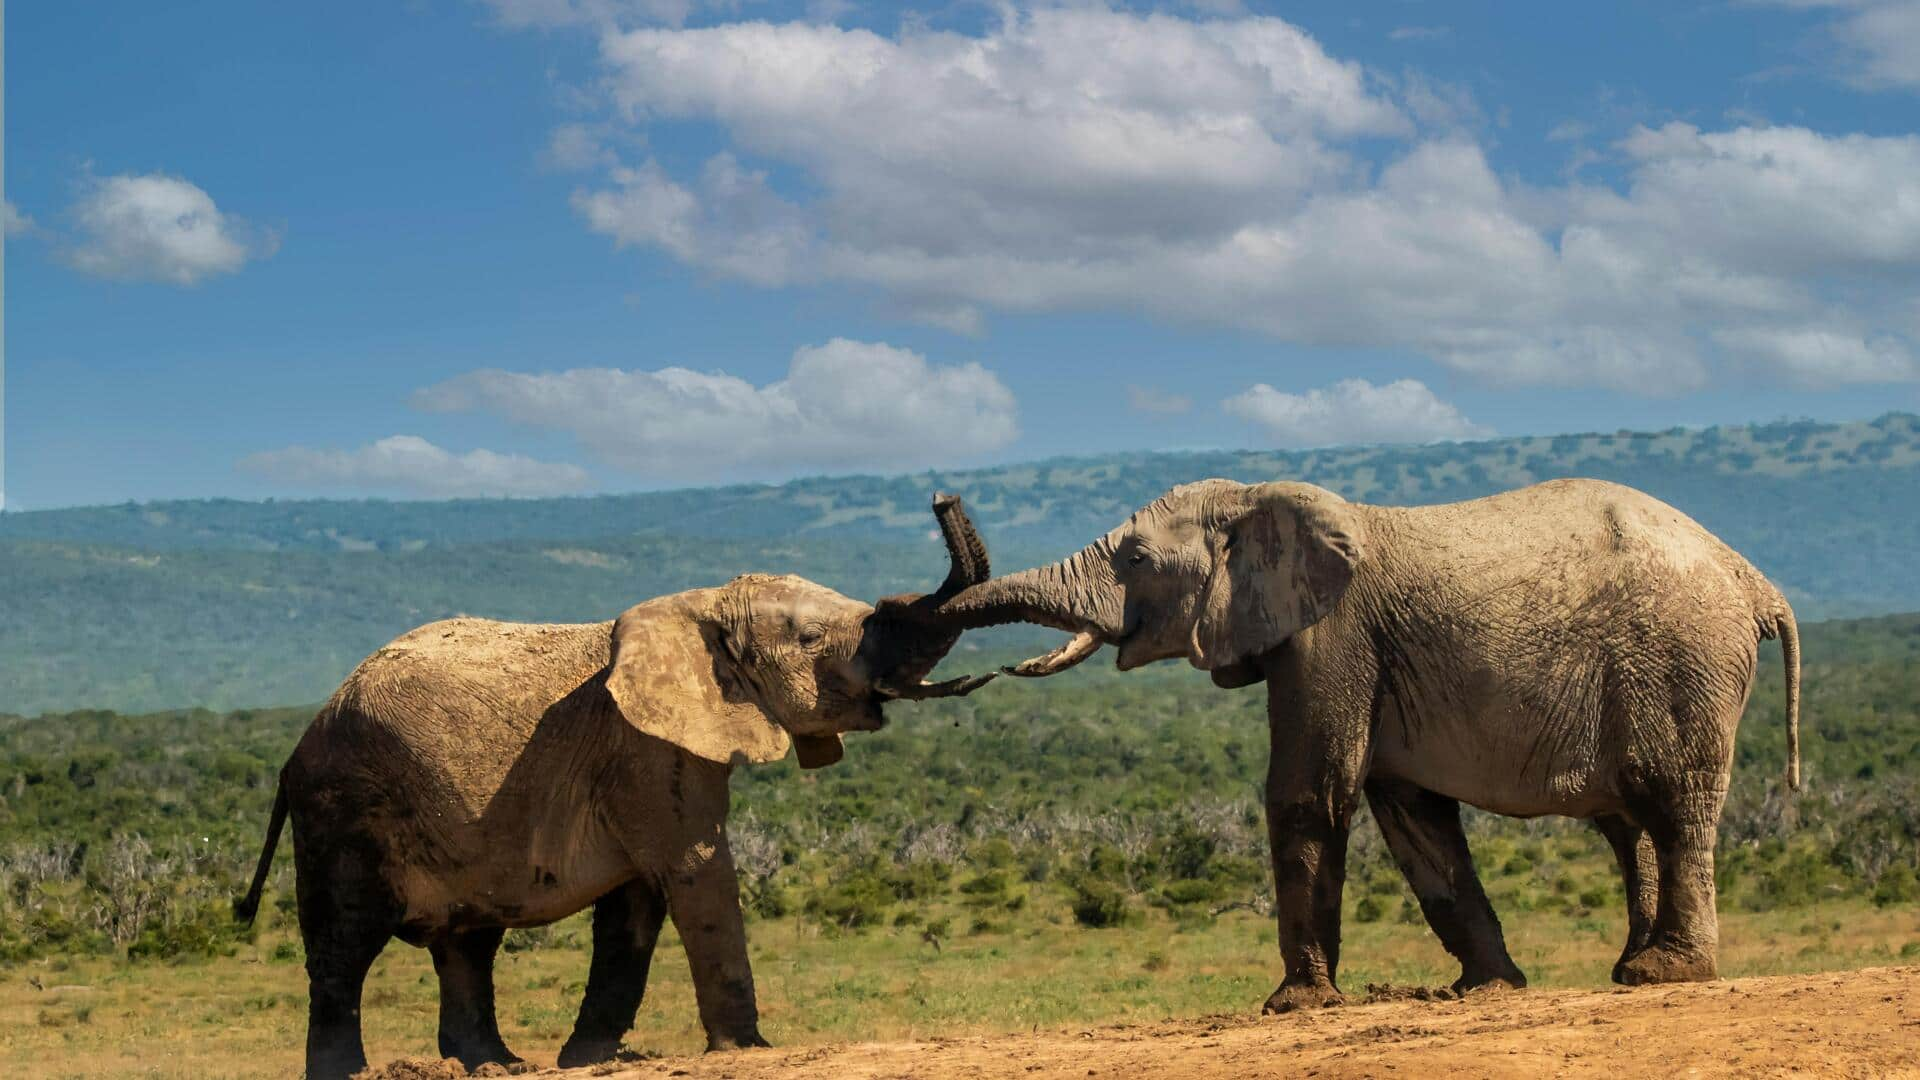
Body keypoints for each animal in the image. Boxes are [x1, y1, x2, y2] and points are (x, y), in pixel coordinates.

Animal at [232, 495, 998, 1076]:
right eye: (812, 639)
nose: (942, 498)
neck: (700, 605)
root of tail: (301, 743)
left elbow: (638, 901)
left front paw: (587, 1059)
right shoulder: (645, 751)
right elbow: (694, 870)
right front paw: (748, 1049)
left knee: (467, 944)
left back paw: (497, 1066)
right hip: (344, 805)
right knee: (345, 944)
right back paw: (351, 1072)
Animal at [929, 478, 1797, 1006]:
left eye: (1136, 558)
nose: (944, 498)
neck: (1258, 501)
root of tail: (1756, 581)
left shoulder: (1332, 638)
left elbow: (1309, 793)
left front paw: (1295, 1006)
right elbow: (1413, 817)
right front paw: (1486, 990)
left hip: (1680, 660)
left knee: (1674, 806)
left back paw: (1666, 975)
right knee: (1631, 827)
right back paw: (1629, 970)